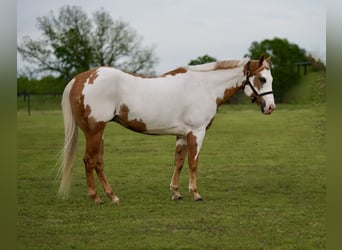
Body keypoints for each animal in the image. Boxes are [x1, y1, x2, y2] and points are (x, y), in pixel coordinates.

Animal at [58, 55, 276, 203]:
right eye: (262, 79)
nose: (270, 107)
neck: (205, 87)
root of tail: (79, 78)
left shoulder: (182, 135)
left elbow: (178, 163)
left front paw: (176, 192)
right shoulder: (197, 132)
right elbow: (193, 163)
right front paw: (196, 193)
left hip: (98, 132)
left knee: (98, 163)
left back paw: (113, 196)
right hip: (94, 131)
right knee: (89, 161)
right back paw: (96, 197)